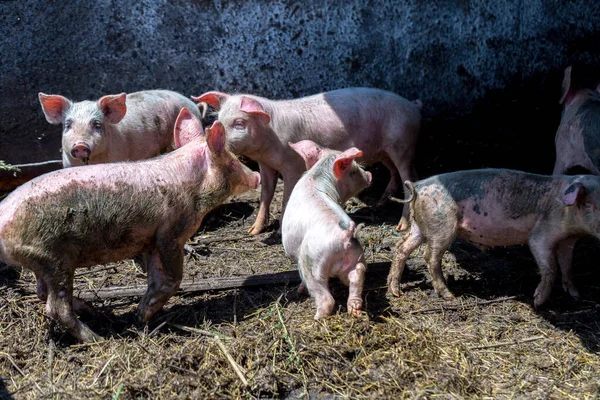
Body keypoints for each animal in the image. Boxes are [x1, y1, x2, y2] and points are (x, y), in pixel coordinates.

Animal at [0, 108, 260, 342]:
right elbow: (174, 278)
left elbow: (155, 279)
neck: (194, 188)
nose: (256, 177)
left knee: (42, 292)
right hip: (54, 257)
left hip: (42, 260)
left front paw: (140, 315)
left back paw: (97, 314)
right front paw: (143, 313)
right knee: (55, 307)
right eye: (232, 162)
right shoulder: (171, 234)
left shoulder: (150, 242)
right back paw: (97, 339)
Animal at [193, 87, 422, 236]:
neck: (269, 140)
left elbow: (285, 197)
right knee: (397, 173)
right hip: (384, 151)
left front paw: (279, 232)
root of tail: (412, 106)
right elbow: (265, 195)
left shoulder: (292, 165)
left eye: (239, 123)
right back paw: (379, 204)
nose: (211, 140)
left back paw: (401, 226)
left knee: (407, 177)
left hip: (402, 144)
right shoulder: (265, 165)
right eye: (219, 120)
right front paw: (253, 231)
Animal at [280, 140, 370, 318]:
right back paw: (355, 310)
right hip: (356, 256)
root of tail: (345, 235)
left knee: (325, 297)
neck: (317, 175)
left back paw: (316, 317)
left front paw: (300, 290)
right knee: (357, 272)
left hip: (312, 261)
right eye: (354, 171)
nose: (369, 174)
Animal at [386, 169, 600, 310]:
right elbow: (551, 267)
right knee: (430, 257)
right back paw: (450, 296)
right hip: (443, 227)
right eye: (590, 205)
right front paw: (537, 302)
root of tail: (418, 186)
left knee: (402, 247)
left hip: (420, 226)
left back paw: (395, 290)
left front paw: (576, 295)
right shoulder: (541, 236)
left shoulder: (568, 240)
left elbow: (567, 264)